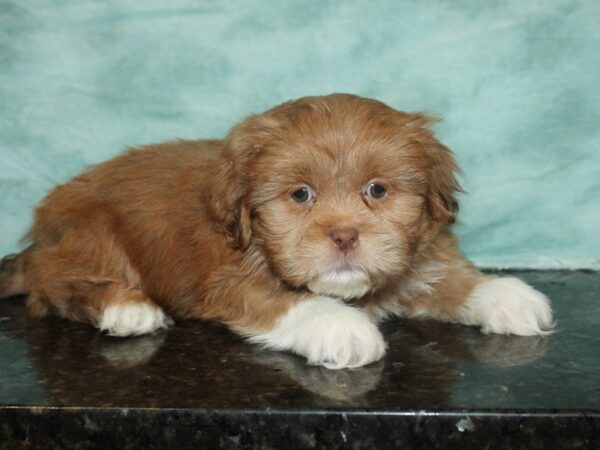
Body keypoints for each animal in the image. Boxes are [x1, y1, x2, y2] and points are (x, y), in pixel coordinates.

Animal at [0, 94, 552, 370]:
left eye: (377, 190)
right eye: (300, 195)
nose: (345, 236)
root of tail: (40, 235)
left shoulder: (418, 254)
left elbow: (451, 277)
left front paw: (503, 294)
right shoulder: (231, 279)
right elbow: (291, 300)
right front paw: (341, 326)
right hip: (90, 233)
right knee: (56, 284)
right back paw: (127, 307)